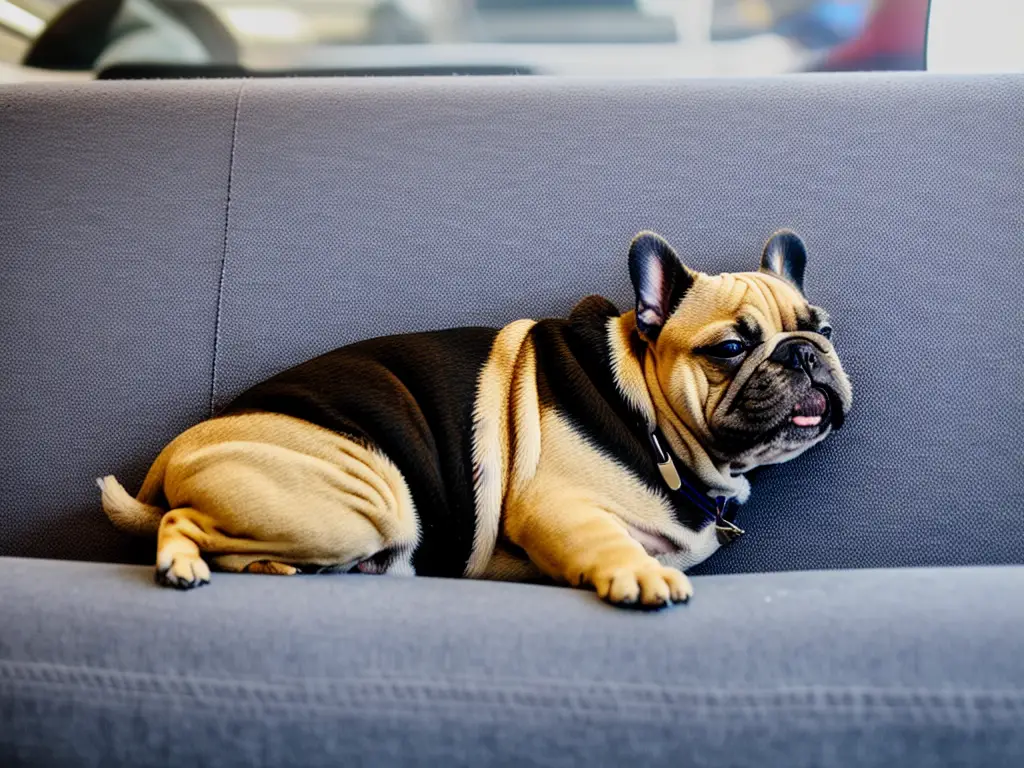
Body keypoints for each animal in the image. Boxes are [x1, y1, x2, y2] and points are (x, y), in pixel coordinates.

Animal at [99, 228, 851, 606]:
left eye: (823, 330)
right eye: (731, 348)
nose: (805, 353)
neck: (646, 415)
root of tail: (172, 456)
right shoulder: (553, 506)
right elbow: (606, 541)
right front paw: (639, 576)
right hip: (362, 503)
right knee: (181, 520)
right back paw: (182, 564)